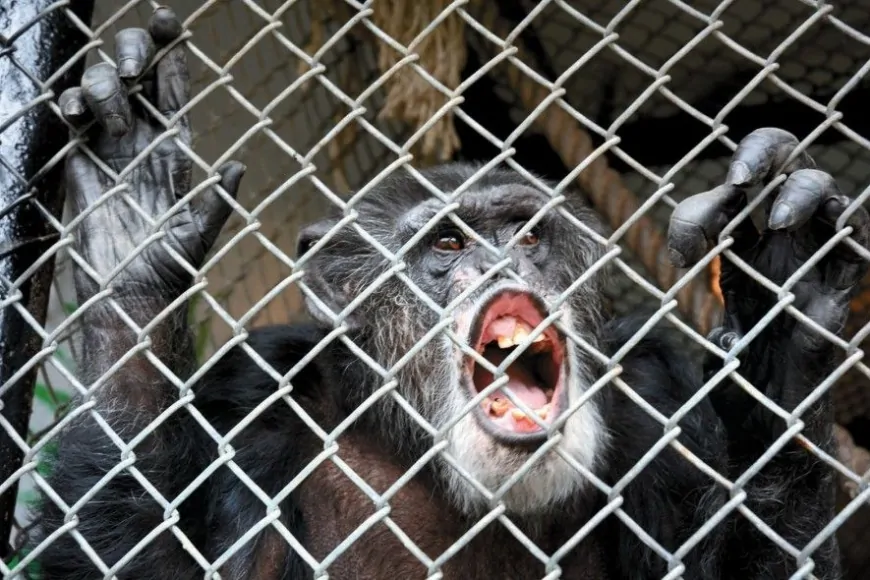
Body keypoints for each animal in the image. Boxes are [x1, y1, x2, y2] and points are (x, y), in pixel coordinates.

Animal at [27, 5, 864, 580]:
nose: (500, 264)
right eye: (450, 245)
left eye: (525, 236)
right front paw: (133, 221)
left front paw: (781, 297)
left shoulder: (661, 391)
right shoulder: (251, 397)